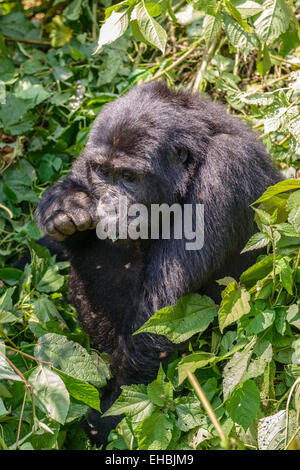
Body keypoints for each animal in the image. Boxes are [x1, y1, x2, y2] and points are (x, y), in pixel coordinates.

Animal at [34, 81, 282, 448]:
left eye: (128, 176)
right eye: (104, 172)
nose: (109, 201)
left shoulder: (223, 172)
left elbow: (158, 319)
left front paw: (108, 419)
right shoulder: (90, 154)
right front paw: (65, 206)